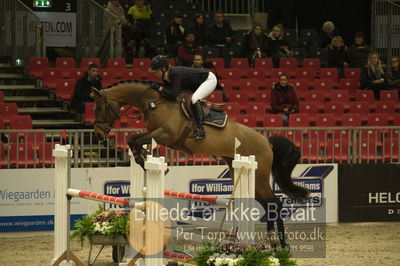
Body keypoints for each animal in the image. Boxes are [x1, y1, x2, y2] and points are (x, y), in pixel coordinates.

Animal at [92, 79, 308, 247]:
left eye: (99, 107)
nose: (99, 135)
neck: (154, 102)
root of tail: (267, 141)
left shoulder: (166, 135)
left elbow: (135, 139)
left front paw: (145, 160)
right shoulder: (156, 135)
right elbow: (134, 140)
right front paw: (143, 158)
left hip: (259, 176)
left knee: (274, 203)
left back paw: (279, 242)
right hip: (243, 174)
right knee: (268, 203)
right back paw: (275, 242)